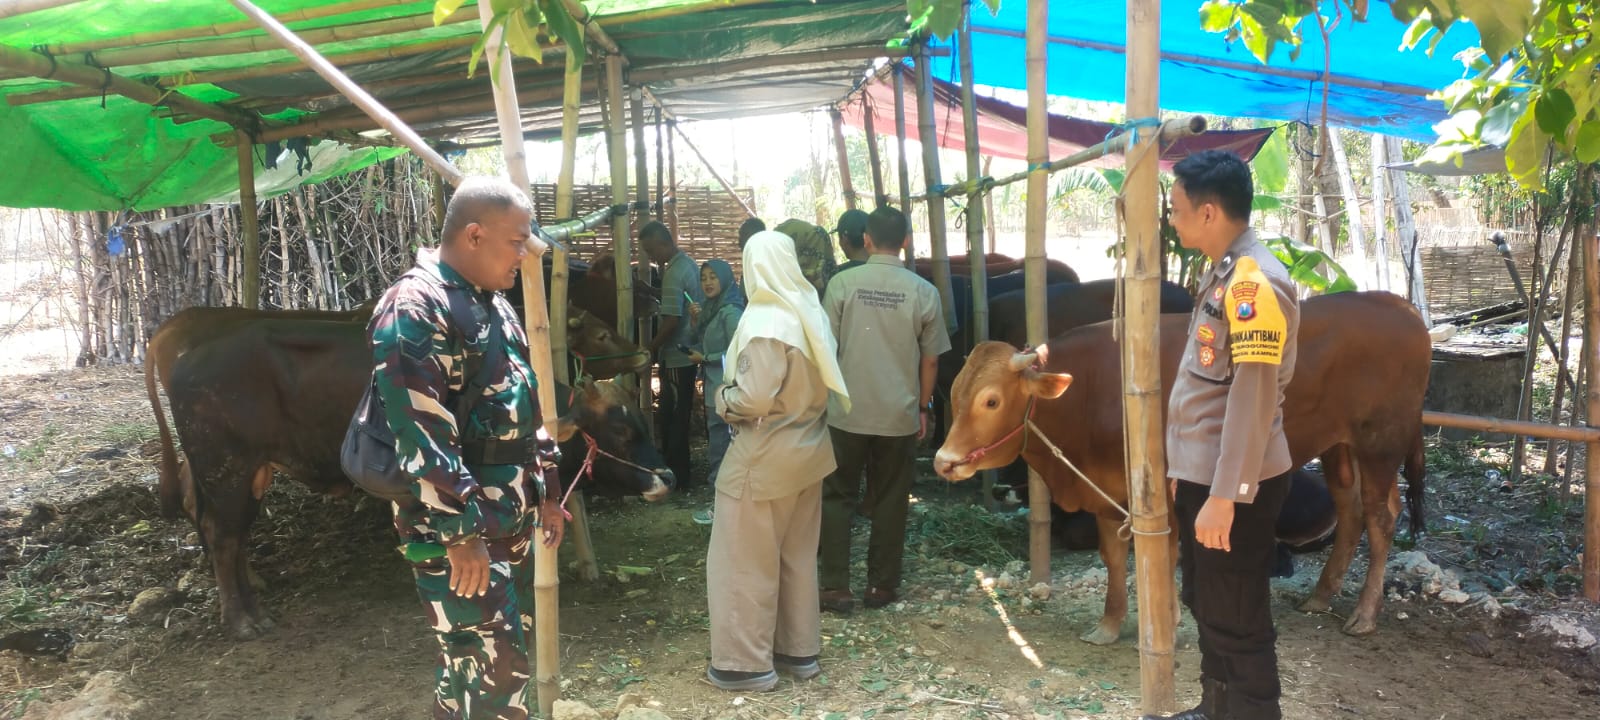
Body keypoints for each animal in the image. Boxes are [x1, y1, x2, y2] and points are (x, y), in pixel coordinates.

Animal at [934, 291, 1433, 640]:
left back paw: (1364, 615)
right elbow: (1113, 557)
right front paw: (1110, 624)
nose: (944, 462)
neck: (1096, 390)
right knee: (1350, 514)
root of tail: (1398, 305)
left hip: (1380, 442)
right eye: (955, 393)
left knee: (1381, 518)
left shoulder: (1165, 490)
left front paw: (1168, 623)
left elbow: (1162, 554)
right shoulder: (1106, 490)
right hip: (1339, 447)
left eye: (991, 400)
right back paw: (1321, 595)